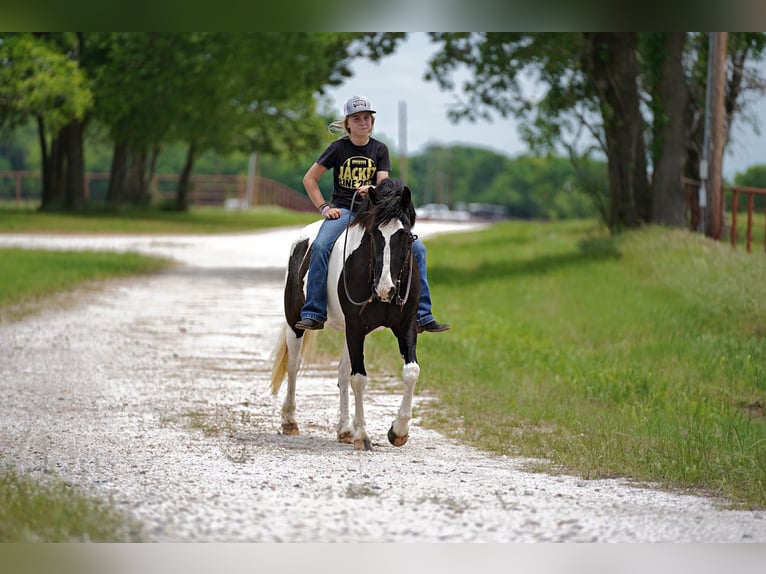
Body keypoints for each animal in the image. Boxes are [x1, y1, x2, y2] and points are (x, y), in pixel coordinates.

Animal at [270, 178, 424, 452]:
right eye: (373, 234)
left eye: (406, 237)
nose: (385, 290)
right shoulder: (356, 326)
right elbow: (359, 379)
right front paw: (362, 435)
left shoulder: (404, 326)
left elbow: (411, 372)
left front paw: (398, 431)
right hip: (295, 322)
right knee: (294, 365)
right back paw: (290, 422)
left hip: (346, 331)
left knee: (342, 372)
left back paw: (344, 430)